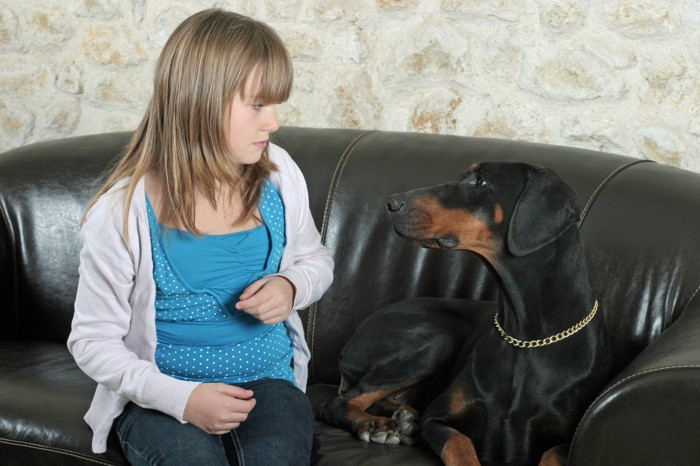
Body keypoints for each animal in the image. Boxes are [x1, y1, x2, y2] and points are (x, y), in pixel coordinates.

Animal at [314, 162, 608, 464]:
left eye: (479, 182)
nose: (390, 203)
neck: (525, 337)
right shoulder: (439, 418)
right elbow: (459, 442)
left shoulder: (566, 440)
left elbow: (552, 453)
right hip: (439, 338)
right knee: (339, 401)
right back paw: (377, 424)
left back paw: (405, 419)